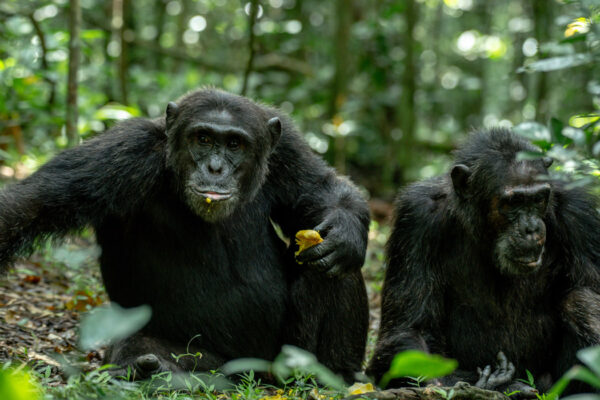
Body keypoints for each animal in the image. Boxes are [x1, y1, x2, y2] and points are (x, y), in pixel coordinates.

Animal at [0, 87, 370, 382]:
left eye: (234, 144)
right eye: (203, 139)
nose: (215, 168)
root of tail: (254, 372)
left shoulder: (288, 148)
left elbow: (321, 188)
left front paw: (345, 235)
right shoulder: (123, 151)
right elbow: (36, 204)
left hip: (282, 352)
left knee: (334, 270)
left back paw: (332, 375)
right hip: (212, 361)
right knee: (141, 346)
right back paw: (148, 369)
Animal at [366, 128, 600, 394]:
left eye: (539, 199)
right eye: (514, 202)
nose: (531, 228)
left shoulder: (580, 215)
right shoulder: (416, 218)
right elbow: (407, 329)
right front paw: (483, 383)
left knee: (580, 300)